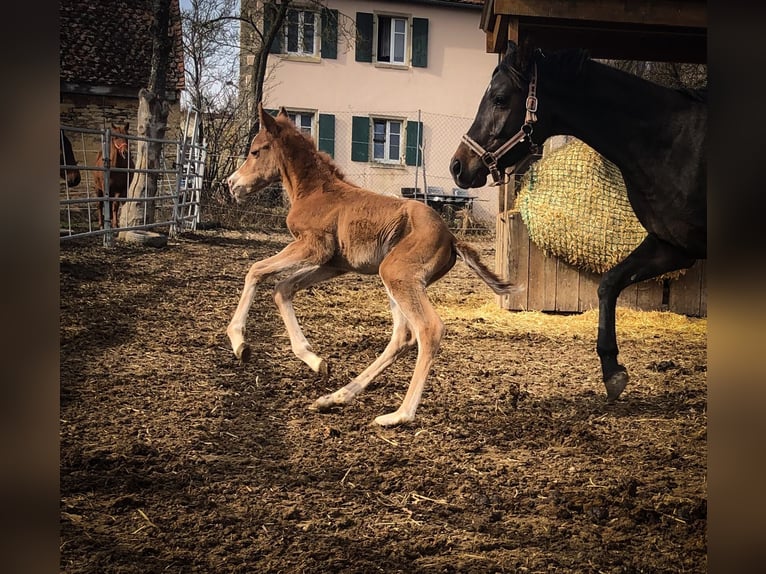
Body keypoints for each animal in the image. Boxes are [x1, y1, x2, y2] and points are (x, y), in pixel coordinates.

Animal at [225, 107, 524, 428]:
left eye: (255, 151)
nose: (231, 184)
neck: (315, 192)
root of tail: (452, 237)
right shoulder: (333, 264)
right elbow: (283, 287)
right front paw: (316, 361)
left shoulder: (313, 247)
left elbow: (256, 270)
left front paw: (239, 343)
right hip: (396, 280)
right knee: (403, 336)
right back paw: (335, 397)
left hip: (397, 275)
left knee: (427, 329)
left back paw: (399, 415)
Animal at [450, 40, 708, 402]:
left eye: (499, 98)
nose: (458, 166)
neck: (672, 142)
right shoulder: (672, 247)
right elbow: (608, 284)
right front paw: (612, 371)